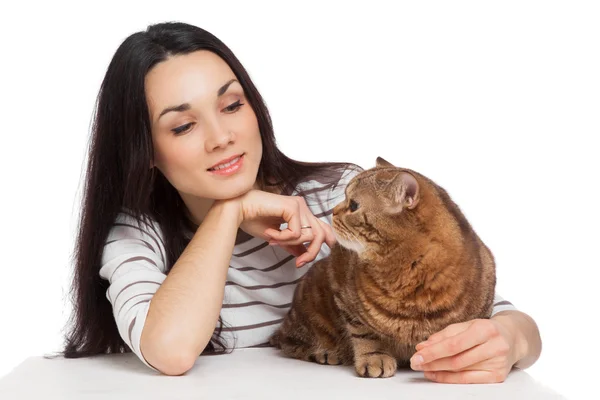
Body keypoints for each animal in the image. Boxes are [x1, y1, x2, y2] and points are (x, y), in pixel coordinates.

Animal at [272, 156, 496, 378]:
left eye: (353, 205)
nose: (333, 212)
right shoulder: (343, 294)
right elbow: (364, 333)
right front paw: (374, 358)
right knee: (288, 341)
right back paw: (325, 353)